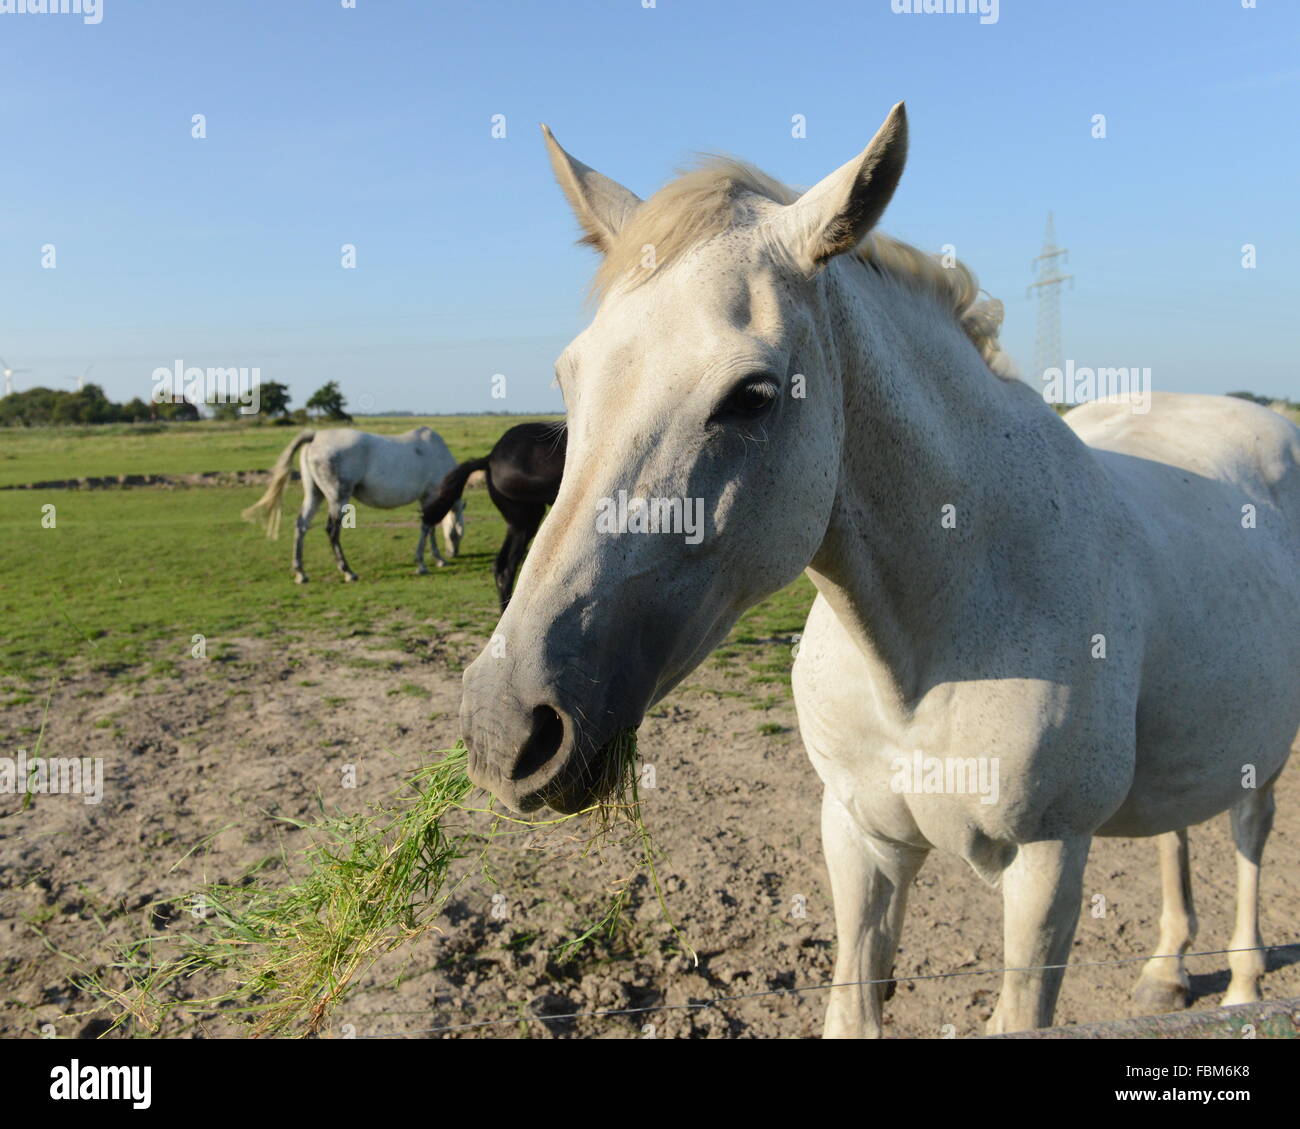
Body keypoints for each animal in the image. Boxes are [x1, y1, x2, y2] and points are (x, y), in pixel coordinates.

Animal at [242, 426, 465, 583]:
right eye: (459, 532)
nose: (454, 552)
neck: (435, 451)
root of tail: (316, 436)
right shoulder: (430, 496)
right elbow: (428, 526)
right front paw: (425, 563)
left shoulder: (426, 498)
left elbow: (430, 528)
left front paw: (437, 558)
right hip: (338, 498)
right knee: (332, 531)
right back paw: (348, 572)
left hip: (315, 495)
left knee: (301, 525)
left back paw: (301, 573)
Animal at [457, 104, 1300, 1037]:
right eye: (571, 378)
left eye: (753, 395)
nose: (504, 725)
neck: (937, 639)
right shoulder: (862, 838)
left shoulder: (1048, 862)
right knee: (1174, 833)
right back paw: (1162, 971)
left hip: (1262, 754)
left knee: (1250, 834)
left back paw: (1246, 984)